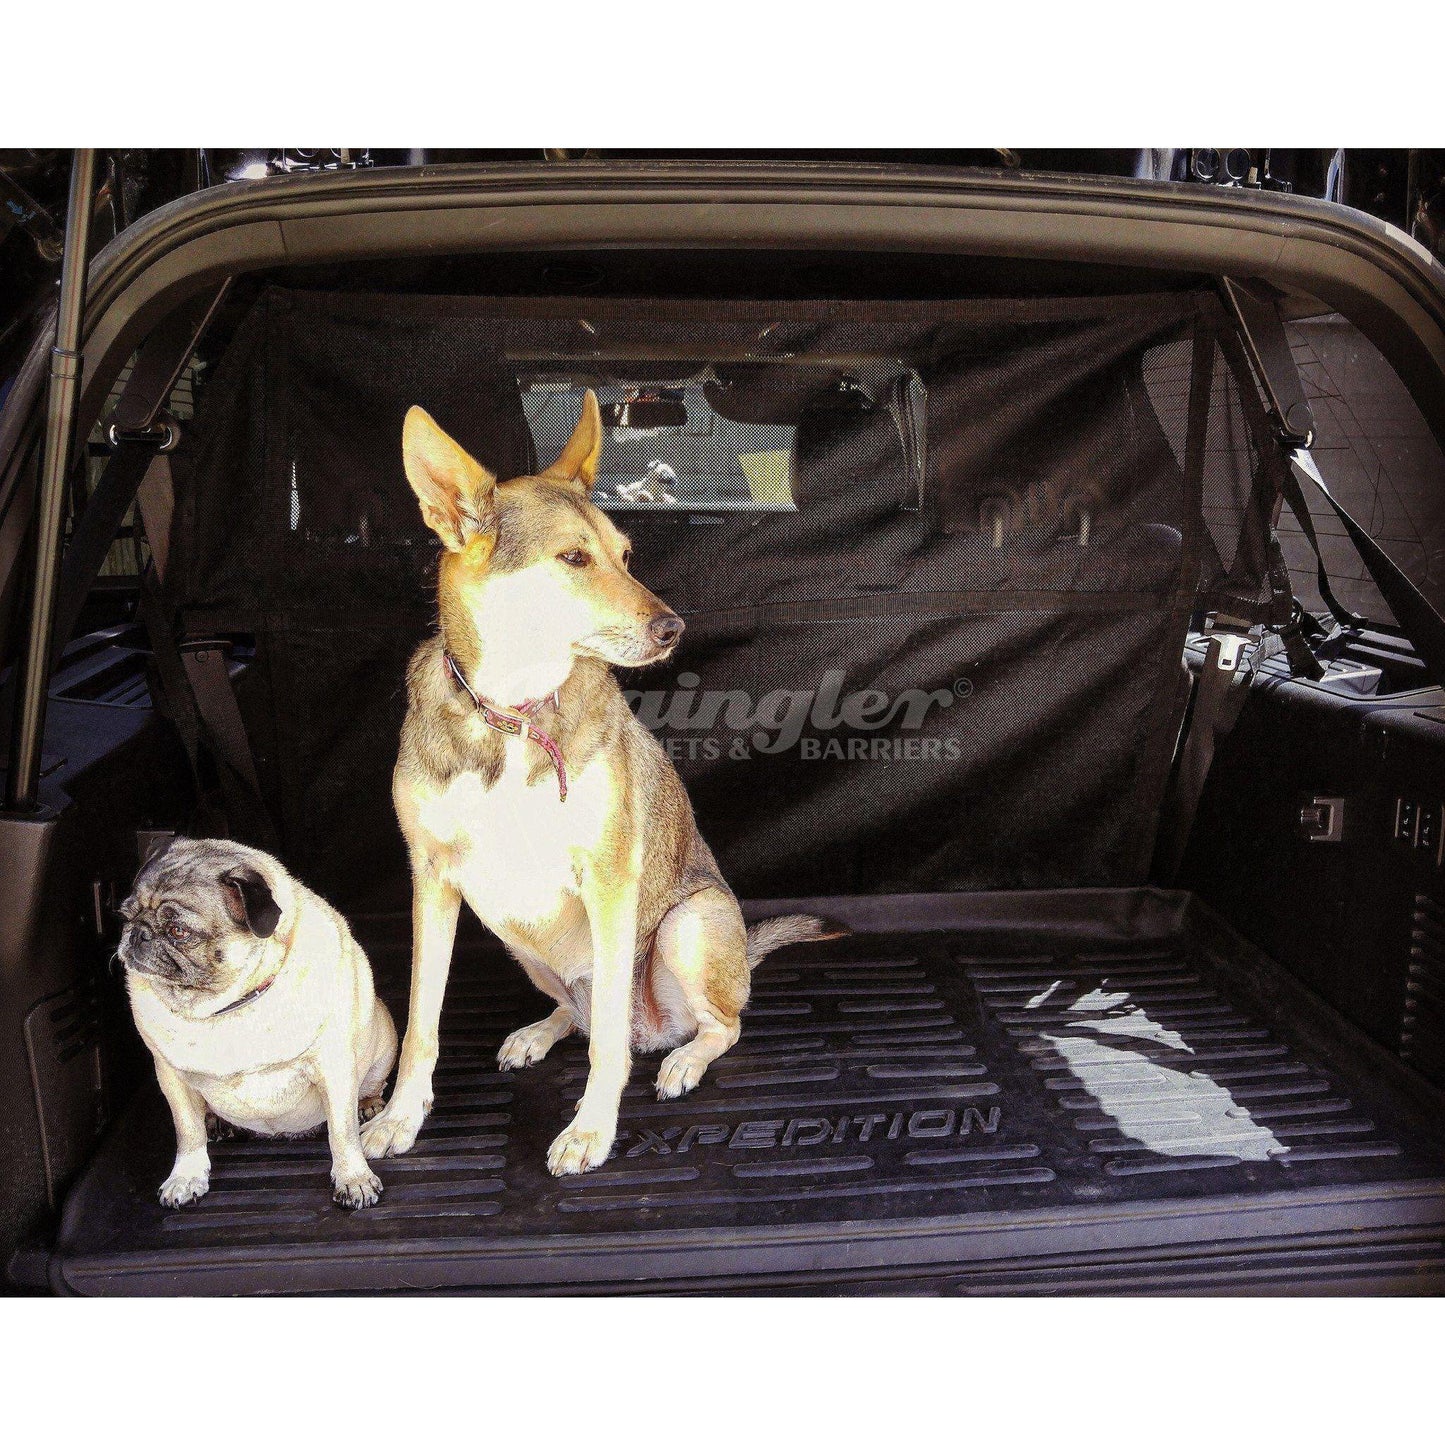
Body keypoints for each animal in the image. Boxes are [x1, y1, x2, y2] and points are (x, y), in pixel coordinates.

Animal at [120, 838, 398, 1209]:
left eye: (179, 931)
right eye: (126, 915)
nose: (138, 933)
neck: (227, 1006)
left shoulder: (334, 1069)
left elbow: (343, 1132)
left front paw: (354, 1179)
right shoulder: (172, 1078)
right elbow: (188, 1132)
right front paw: (186, 1177)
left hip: (383, 1046)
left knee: (369, 1087)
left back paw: (368, 1104)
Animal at [361, 391, 839, 1176]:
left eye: (625, 554)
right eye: (574, 558)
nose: (673, 628)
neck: (513, 715)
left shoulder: (610, 878)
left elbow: (609, 1044)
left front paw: (590, 1129)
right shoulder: (431, 879)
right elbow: (423, 1020)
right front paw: (402, 1115)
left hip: (686, 925)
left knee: (712, 1025)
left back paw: (681, 1059)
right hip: (517, 939)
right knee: (580, 1016)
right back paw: (541, 1030)